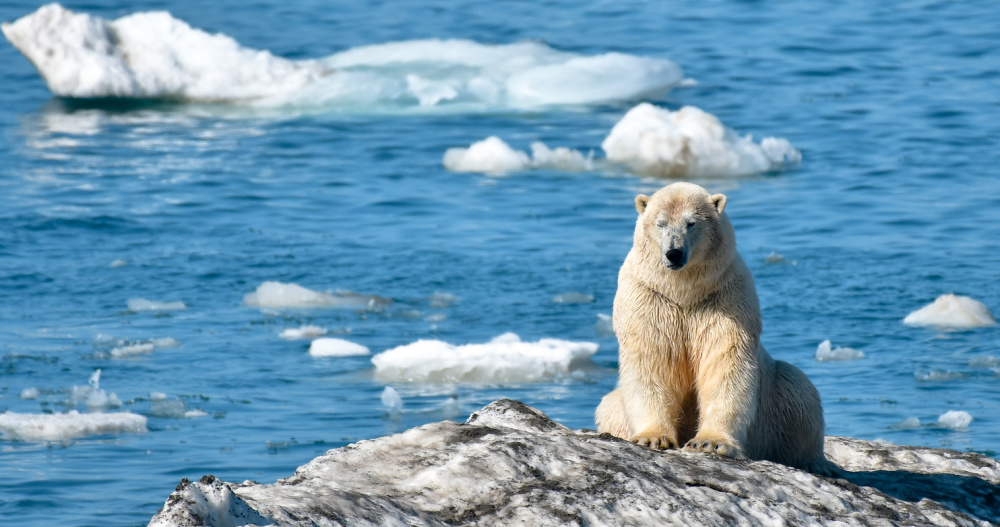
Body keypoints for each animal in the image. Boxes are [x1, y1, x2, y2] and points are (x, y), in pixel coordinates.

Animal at [595, 182, 833, 474]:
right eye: (660, 223)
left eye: (691, 223)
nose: (674, 253)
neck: (684, 292)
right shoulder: (649, 299)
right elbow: (651, 360)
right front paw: (653, 438)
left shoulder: (725, 298)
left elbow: (726, 363)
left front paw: (709, 443)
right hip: (614, 408)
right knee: (608, 406)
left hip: (777, 399)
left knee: (799, 390)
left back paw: (817, 462)